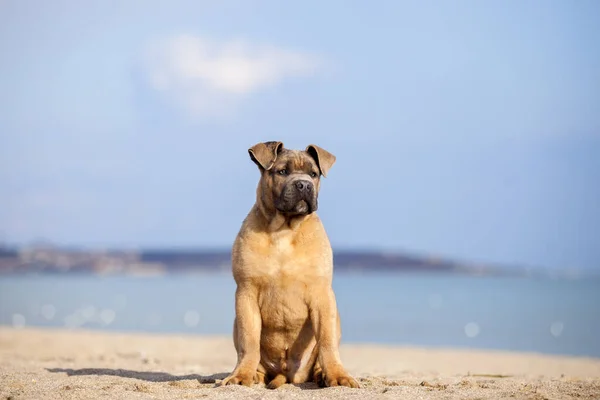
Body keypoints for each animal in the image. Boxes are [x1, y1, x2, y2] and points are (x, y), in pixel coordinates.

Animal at [221, 141, 358, 388]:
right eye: (282, 171)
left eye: (314, 174)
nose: (304, 185)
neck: (284, 229)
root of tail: (287, 372)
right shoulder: (246, 293)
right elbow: (249, 340)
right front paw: (241, 375)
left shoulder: (322, 295)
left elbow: (327, 341)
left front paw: (338, 375)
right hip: (237, 323)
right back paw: (254, 374)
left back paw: (322, 374)